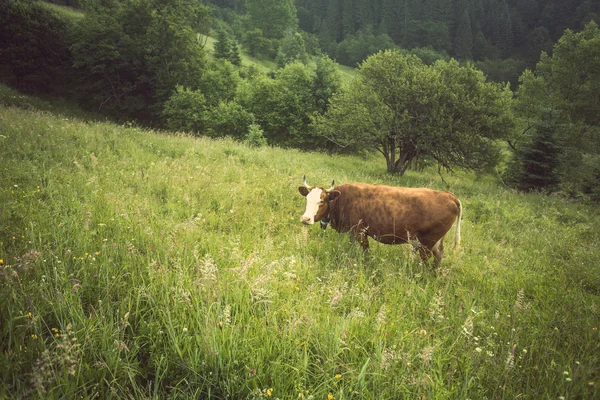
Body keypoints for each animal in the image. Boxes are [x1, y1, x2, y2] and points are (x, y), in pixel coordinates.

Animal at [298, 177, 462, 266]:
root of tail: (448, 195)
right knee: (438, 256)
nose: (306, 219)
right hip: (435, 241)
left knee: (426, 258)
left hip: (427, 242)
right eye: (307, 199)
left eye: (322, 200)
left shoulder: (360, 231)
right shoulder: (352, 232)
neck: (343, 199)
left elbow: (365, 250)